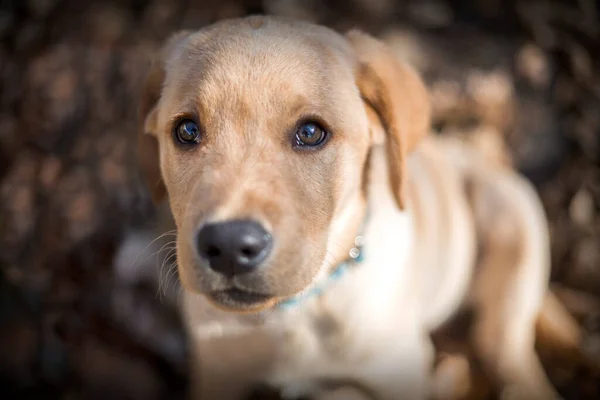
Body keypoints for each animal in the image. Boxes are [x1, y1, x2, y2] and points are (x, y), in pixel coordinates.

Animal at [137, 15, 580, 400]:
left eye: (310, 132)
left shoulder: (399, 376)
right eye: (187, 130)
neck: (295, 314)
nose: (229, 246)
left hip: (508, 222)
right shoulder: (216, 375)